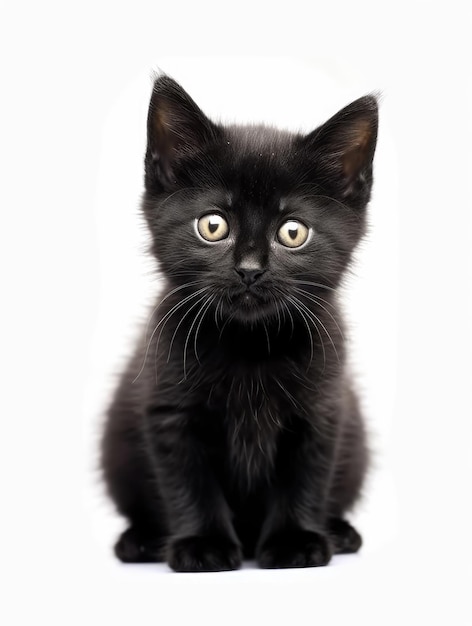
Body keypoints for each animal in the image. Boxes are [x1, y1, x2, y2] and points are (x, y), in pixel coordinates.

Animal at [101, 75, 378, 568]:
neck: (250, 345)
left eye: (293, 232)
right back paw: (140, 541)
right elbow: (187, 482)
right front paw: (203, 545)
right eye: (213, 226)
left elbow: (306, 477)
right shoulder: (170, 411)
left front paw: (295, 542)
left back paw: (342, 533)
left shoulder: (322, 410)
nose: (250, 269)